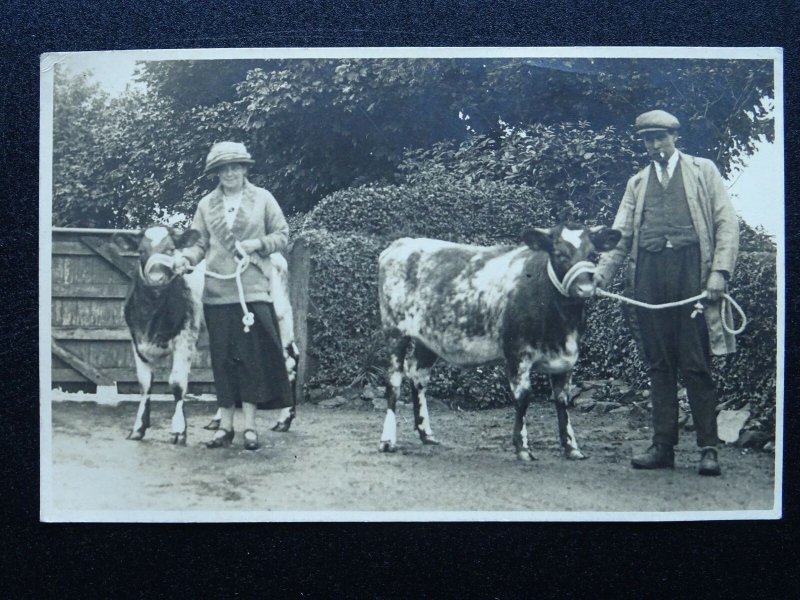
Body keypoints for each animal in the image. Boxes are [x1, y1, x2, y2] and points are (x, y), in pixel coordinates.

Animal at [378, 223, 620, 462]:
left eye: (593, 254)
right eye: (559, 254)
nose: (585, 289)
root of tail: (400, 244)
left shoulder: (566, 359)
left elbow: (562, 400)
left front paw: (571, 447)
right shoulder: (516, 352)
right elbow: (523, 397)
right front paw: (522, 447)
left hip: (427, 339)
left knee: (418, 375)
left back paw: (426, 433)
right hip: (394, 331)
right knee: (393, 382)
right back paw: (388, 440)